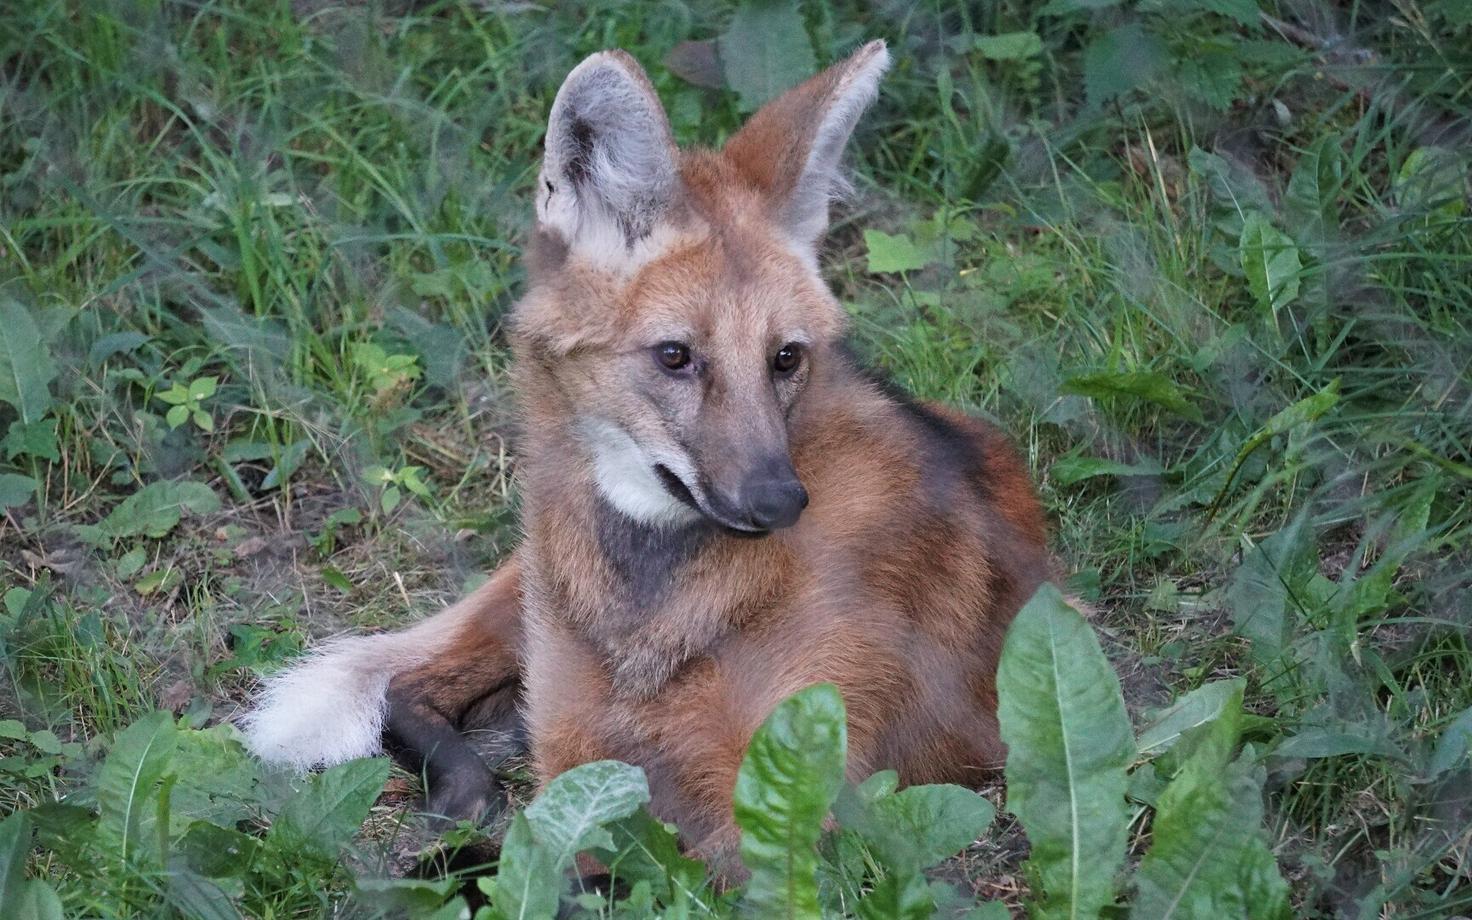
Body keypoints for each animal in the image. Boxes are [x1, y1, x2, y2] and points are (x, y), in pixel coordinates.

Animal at [242, 39, 1052, 867]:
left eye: (785, 358)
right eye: (674, 356)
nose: (779, 499)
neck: (656, 615)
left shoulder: (778, 813)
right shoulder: (578, 761)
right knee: (405, 688)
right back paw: (466, 787)